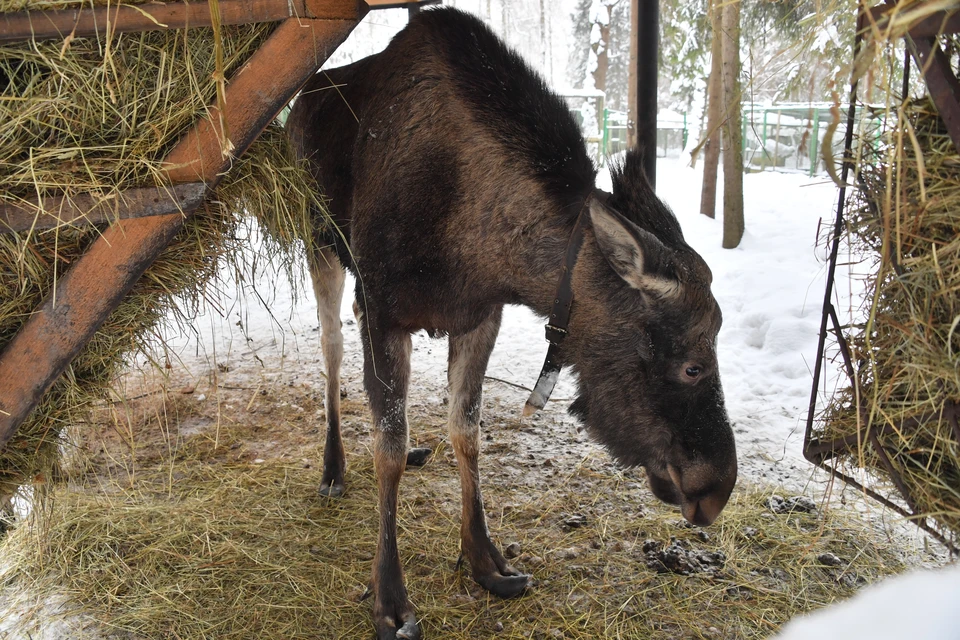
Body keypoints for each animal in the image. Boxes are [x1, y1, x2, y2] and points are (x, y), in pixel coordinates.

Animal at [284, 7, 736, 636]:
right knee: (330, 349)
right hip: (318, 241)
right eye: (693, 364)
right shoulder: (386, 312)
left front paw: (485, 560)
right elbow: (388, 448)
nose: (717, 488)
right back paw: (332, 468)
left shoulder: (478, 316)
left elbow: (465, 431)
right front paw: (390, 597)